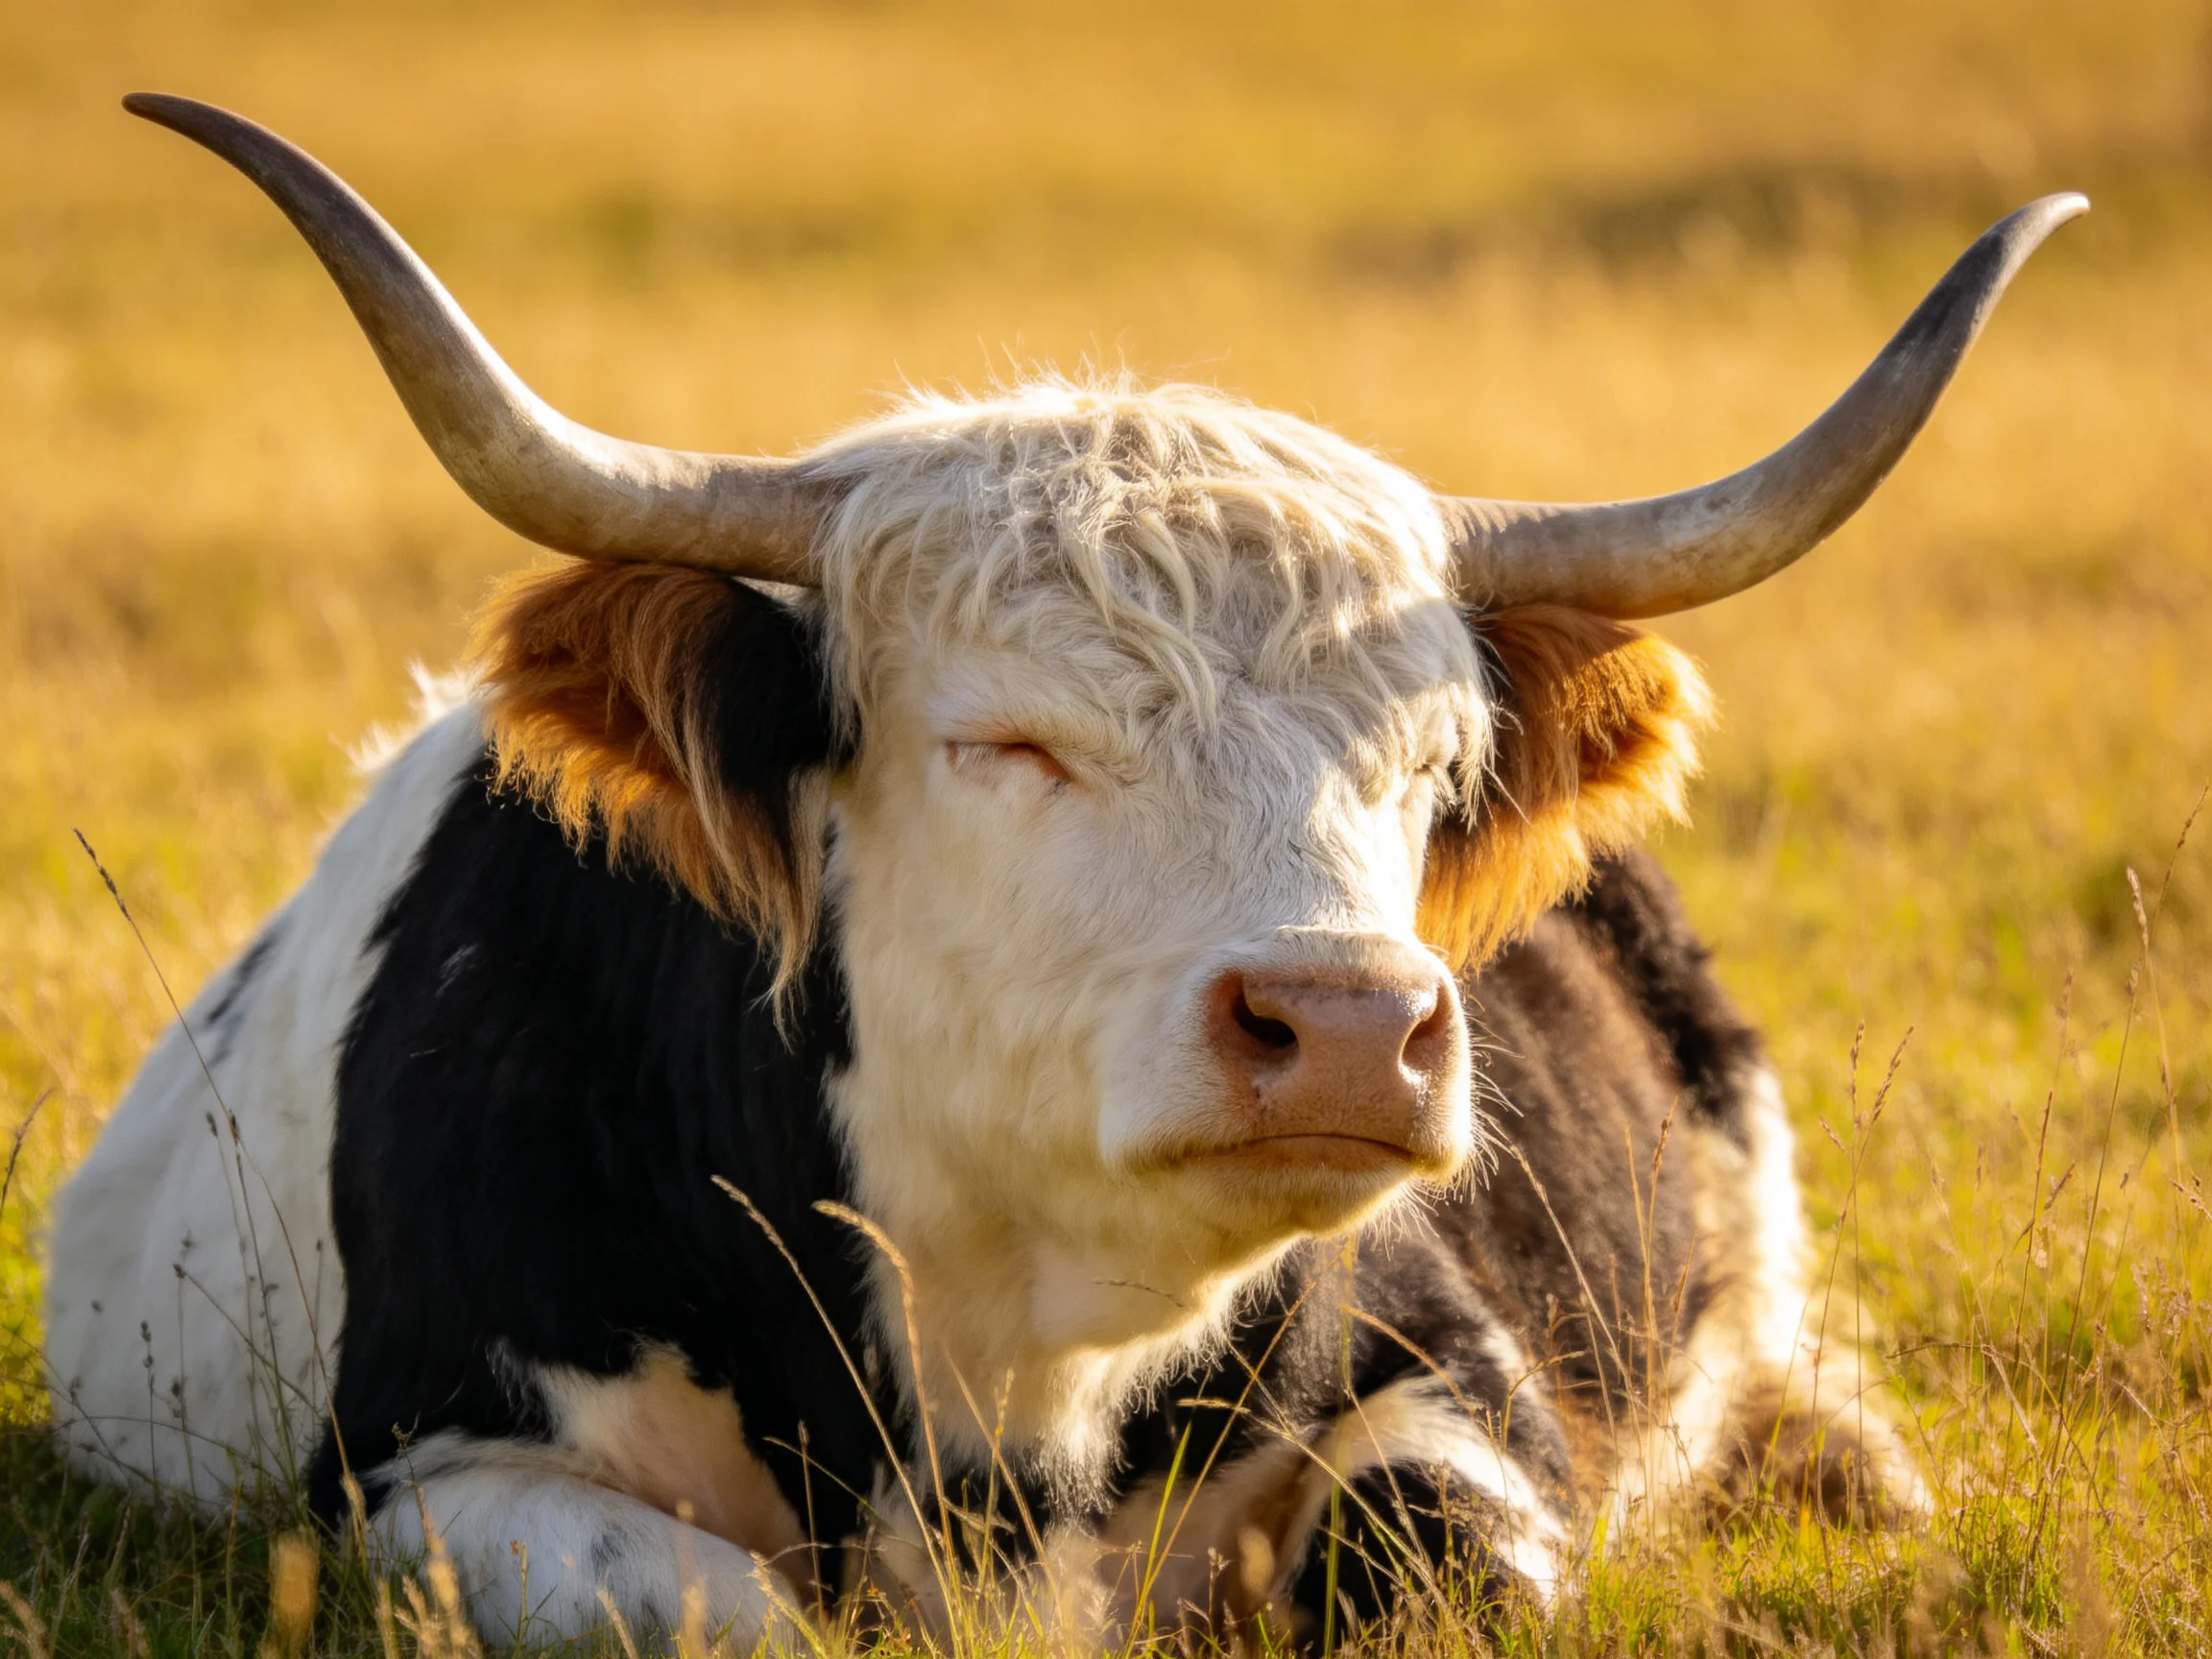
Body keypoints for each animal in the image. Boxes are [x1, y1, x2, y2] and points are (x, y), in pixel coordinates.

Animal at [43, 94, 2081, 1650]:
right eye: (1004, 741)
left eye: (1428, 765)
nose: (1348, 1026)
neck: (1003, 1385)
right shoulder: (433, 1465)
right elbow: (714, 1610)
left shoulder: (1462, 1387)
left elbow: (1434, 1559)